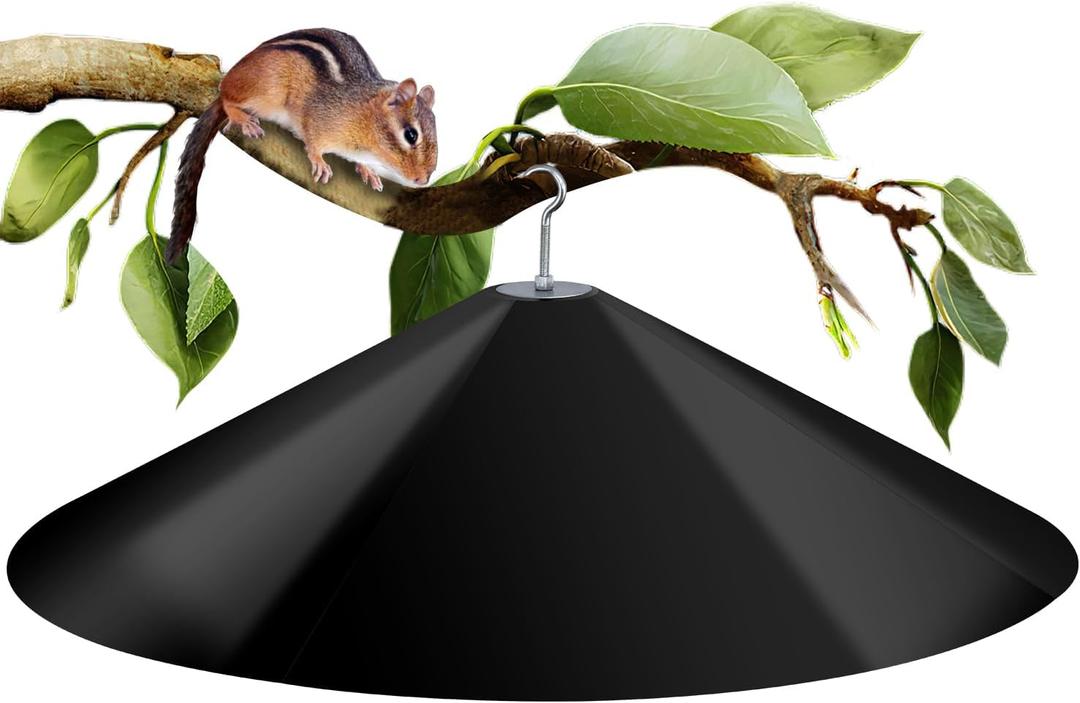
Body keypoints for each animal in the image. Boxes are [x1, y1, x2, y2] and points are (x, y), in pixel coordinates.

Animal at [167, 28, 437, 263]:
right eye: (411, 135)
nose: (423, 180)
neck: (364, 115)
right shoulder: (318, 122)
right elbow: (313, 141)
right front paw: (319, 162)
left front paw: (368, 171)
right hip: (266, 91)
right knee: (226, 97)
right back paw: (241, 116)